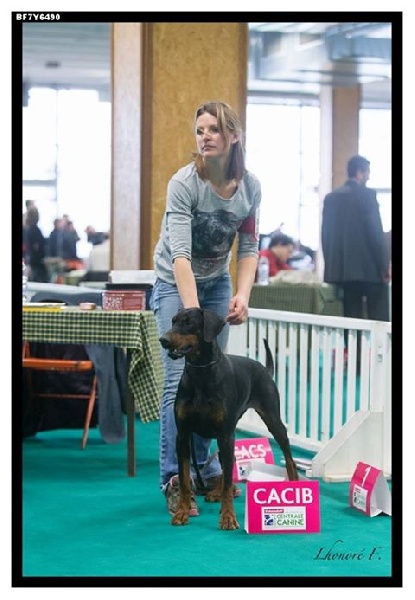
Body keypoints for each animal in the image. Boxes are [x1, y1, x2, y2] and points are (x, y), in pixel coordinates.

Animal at [159, 307, 299, 530]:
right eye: (173, 321)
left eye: (189, 323)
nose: (163, 340)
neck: (201, 373)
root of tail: (264, 368)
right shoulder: (183, 435)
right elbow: (184, 478)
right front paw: (182, 511)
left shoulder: (225, 434)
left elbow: (225, 483)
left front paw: (227, 517)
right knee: (227, 467)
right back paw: (215, 492)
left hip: (271, 421)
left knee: (288, 457)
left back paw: (294, 486)